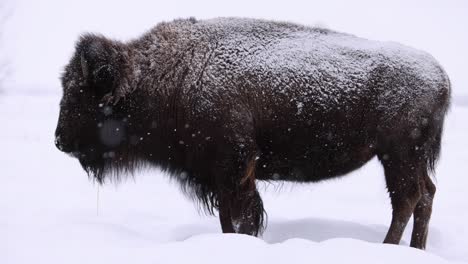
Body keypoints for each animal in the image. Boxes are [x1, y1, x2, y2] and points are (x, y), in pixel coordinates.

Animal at [54, 17, 450, 250]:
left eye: (81, 93)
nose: (58, 140)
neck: (164, 75)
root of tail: (441, 76)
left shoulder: (235, 170)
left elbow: (242, 217)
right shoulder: (218, 178)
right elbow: (226, 218)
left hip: (396, 156)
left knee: (407, 199)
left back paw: (388, 246)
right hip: (406, 159)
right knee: (426, 195)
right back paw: (415, 248)